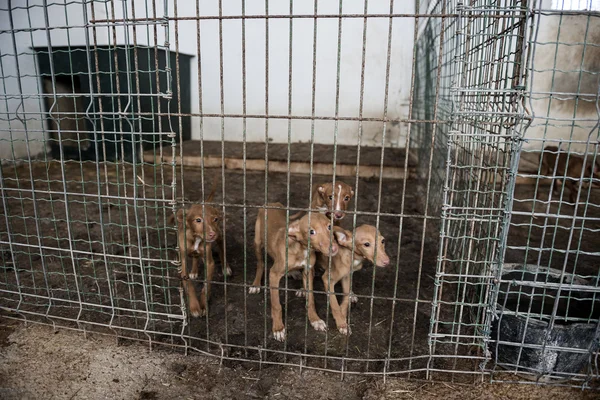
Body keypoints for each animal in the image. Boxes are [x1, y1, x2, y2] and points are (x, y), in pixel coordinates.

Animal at [175, 184, 231, 318]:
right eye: (198, 220)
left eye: (215, 219)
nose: (212, 234)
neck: (197, 238)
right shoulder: (182, 262)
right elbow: (188, 284)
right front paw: (194, 307)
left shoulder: (210, 263)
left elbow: (206, 285)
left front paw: (204, 305)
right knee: (195, 257)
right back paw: (194, 271)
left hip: (219, 235)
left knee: (221, 247)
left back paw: (225, 267)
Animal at [251, 203, 340, 340]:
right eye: (311, 232)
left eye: (329, 226)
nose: (334, 248)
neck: (301, 249)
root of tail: (271, 203)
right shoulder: (274, 274)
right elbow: (276, 305)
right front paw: (278, 328)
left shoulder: (308, 271)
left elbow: (311, 299)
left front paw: (315, 320)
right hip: (257, 242)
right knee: (260, 263)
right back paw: (255, 284)